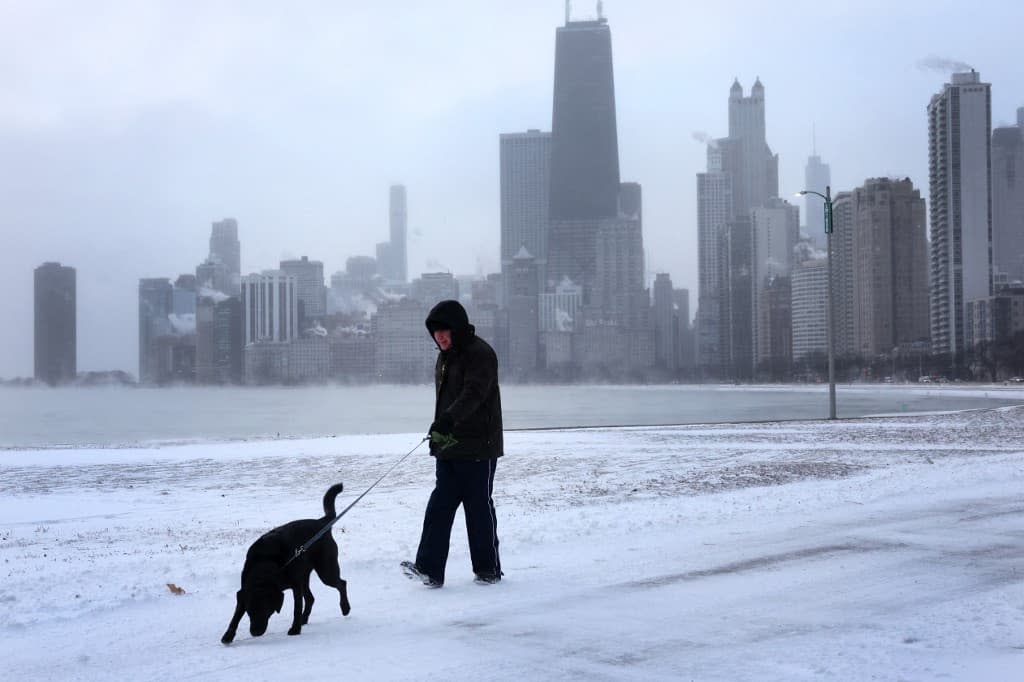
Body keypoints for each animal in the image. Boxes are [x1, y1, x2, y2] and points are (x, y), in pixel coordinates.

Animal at [220, 481, 352, 638]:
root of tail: (321, 522)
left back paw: (345, 608)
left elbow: (296, 608)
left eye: (266, 609)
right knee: (311, 598)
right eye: (250, 612)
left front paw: (295, 629)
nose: (255, 632)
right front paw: (228, 636)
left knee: (341, 583)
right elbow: (236, 615)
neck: (266, 560)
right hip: (305, 576)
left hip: (326, 570)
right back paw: (304, 619)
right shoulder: (245, 591)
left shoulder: (295, 585)